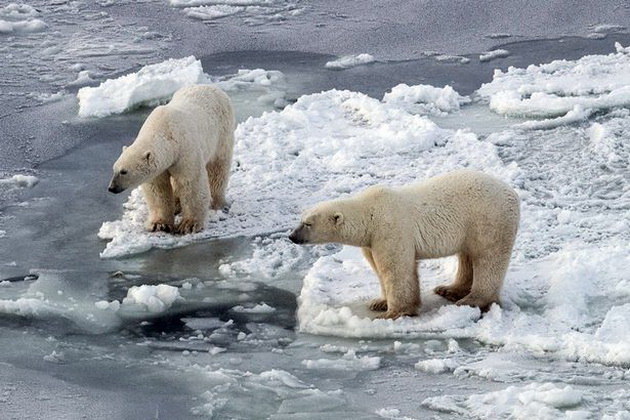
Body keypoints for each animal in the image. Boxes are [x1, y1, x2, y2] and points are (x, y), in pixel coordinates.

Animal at [108, 83, 237, 235]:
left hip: (221, 134)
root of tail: (212, 87)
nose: (111, 188)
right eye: (114, 169)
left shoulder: (186, 151)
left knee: (218, 168)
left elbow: (191, 183)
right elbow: (158, 189)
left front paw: (189, 224)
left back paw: (218, 203)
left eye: (124, 171)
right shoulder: (161, 167)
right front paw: (159, 224)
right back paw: (176, 204)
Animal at [288, 169, 520, 320]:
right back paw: (449, 290)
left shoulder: (390, 229)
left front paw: (393, 312)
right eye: (300, 219)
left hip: (488, 219)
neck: (370, 213)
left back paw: (472, 300)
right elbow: (378, 268)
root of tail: (513, 193)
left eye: (307, 223)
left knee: (488, 258)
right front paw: (378, 302)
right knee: (467, 256)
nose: (291, 236)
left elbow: (396, 269)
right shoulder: (372, 241)